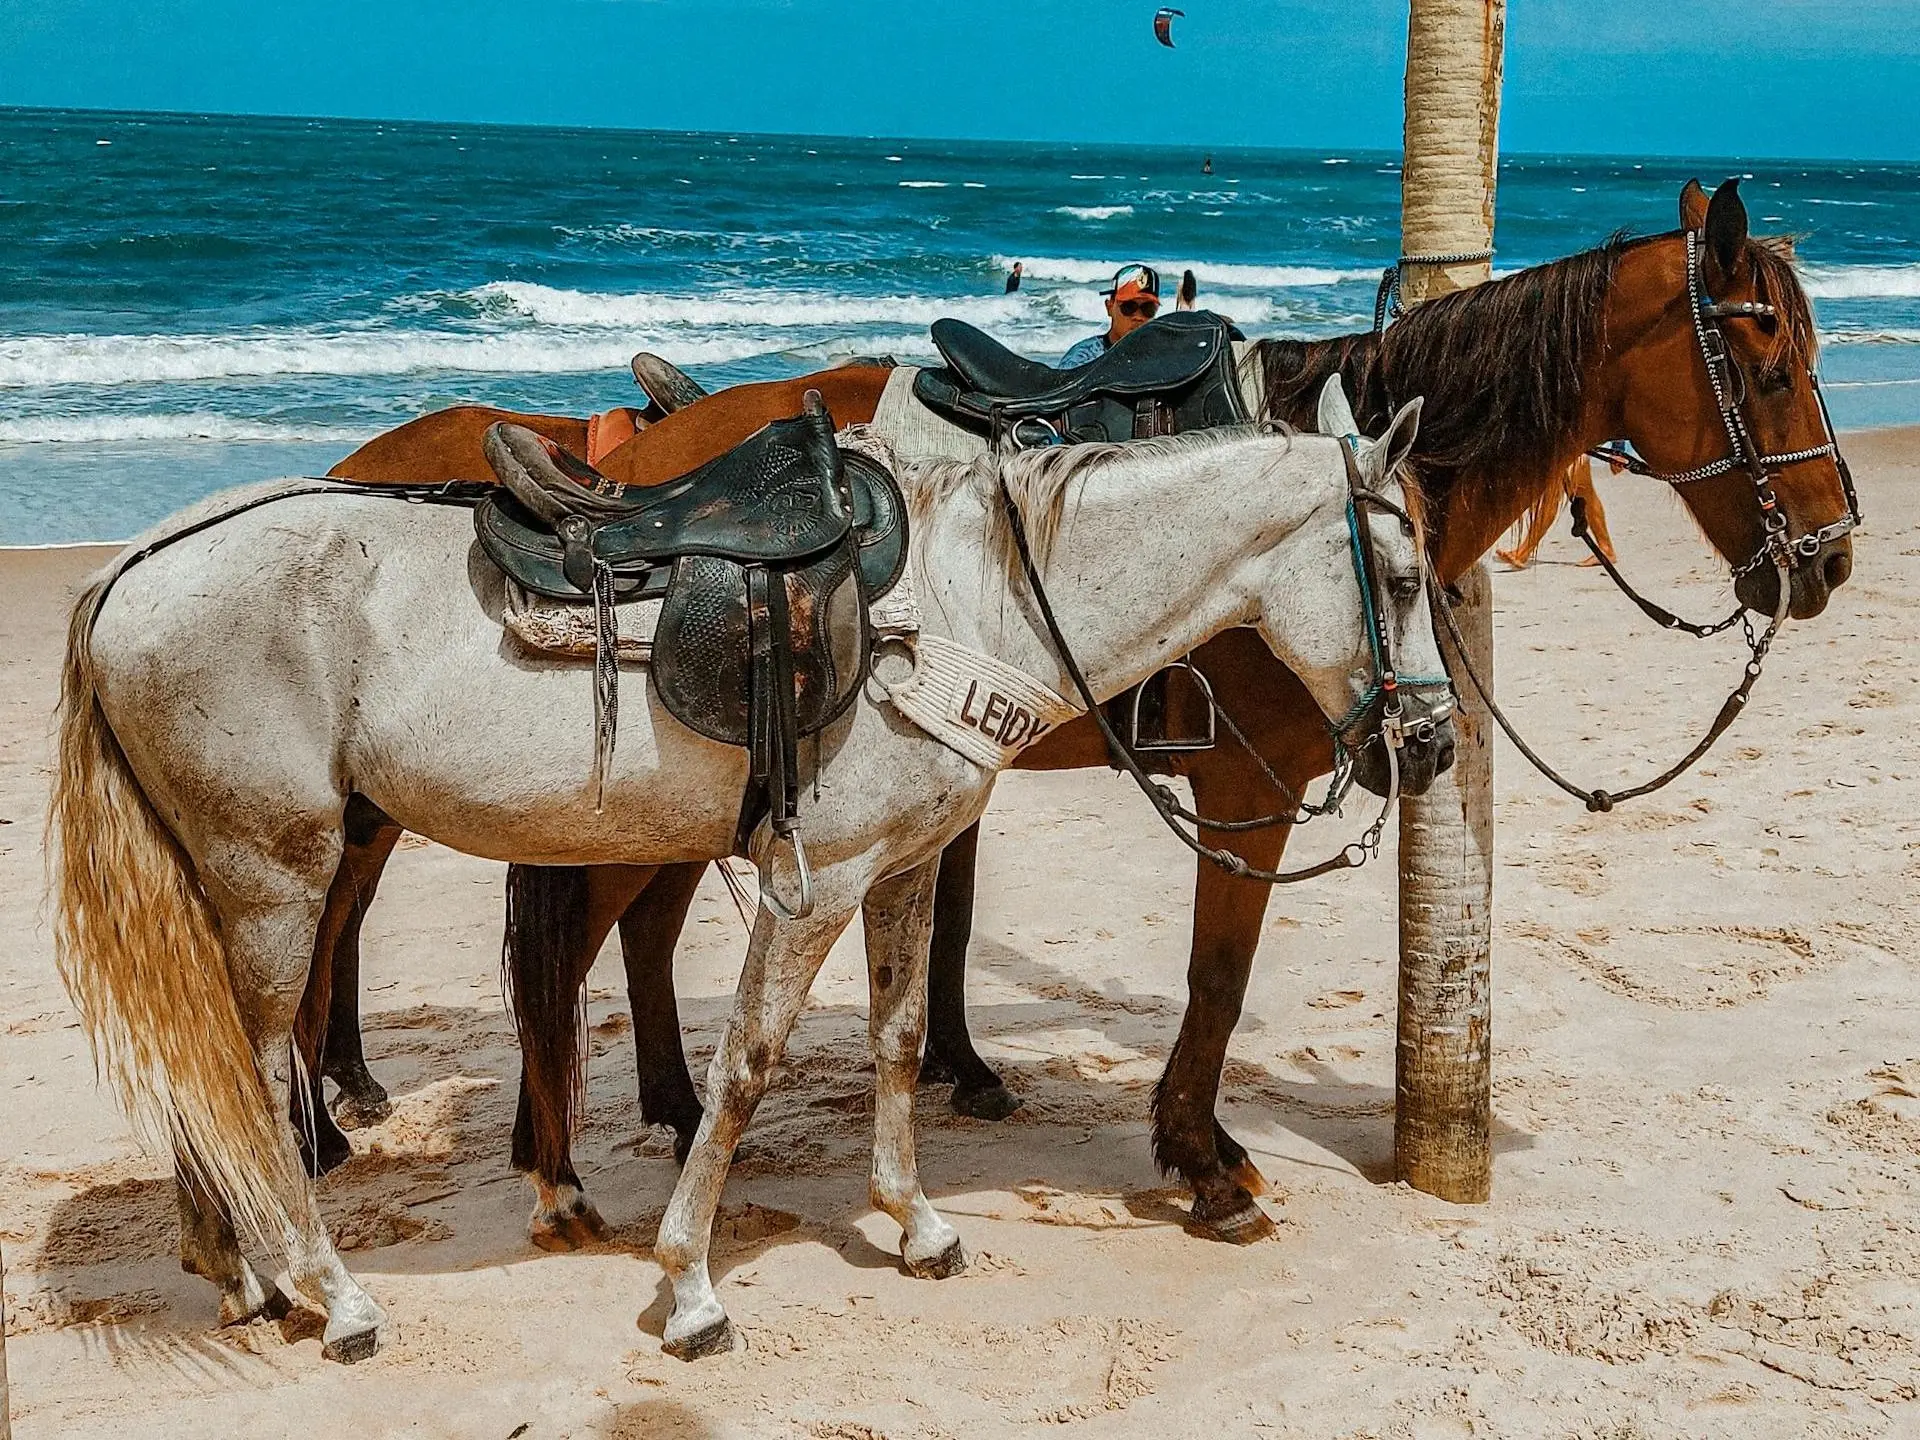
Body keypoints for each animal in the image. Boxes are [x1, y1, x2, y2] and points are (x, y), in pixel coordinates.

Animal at [48, 380, 1443, 1367]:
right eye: (1405, 574)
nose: (1426, 743)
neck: (967, 600)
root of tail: (132, 569)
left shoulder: (903, 868)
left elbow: (895, 1038)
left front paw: (915, 1223)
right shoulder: (815, 882)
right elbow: (748, 1069)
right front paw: (692, 1288)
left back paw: (238, 1272)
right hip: (276, 878)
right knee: (244, 1064)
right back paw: (329, 1294)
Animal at [318, 177, 1858, 1244]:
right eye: (1766, 354)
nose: (1831, 557)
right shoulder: (1248, 787)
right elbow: (1218, 975)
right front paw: (1203, 1159)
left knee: (612, 937)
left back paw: (652, 1116)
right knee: (554, 943)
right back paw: (542, 1164)